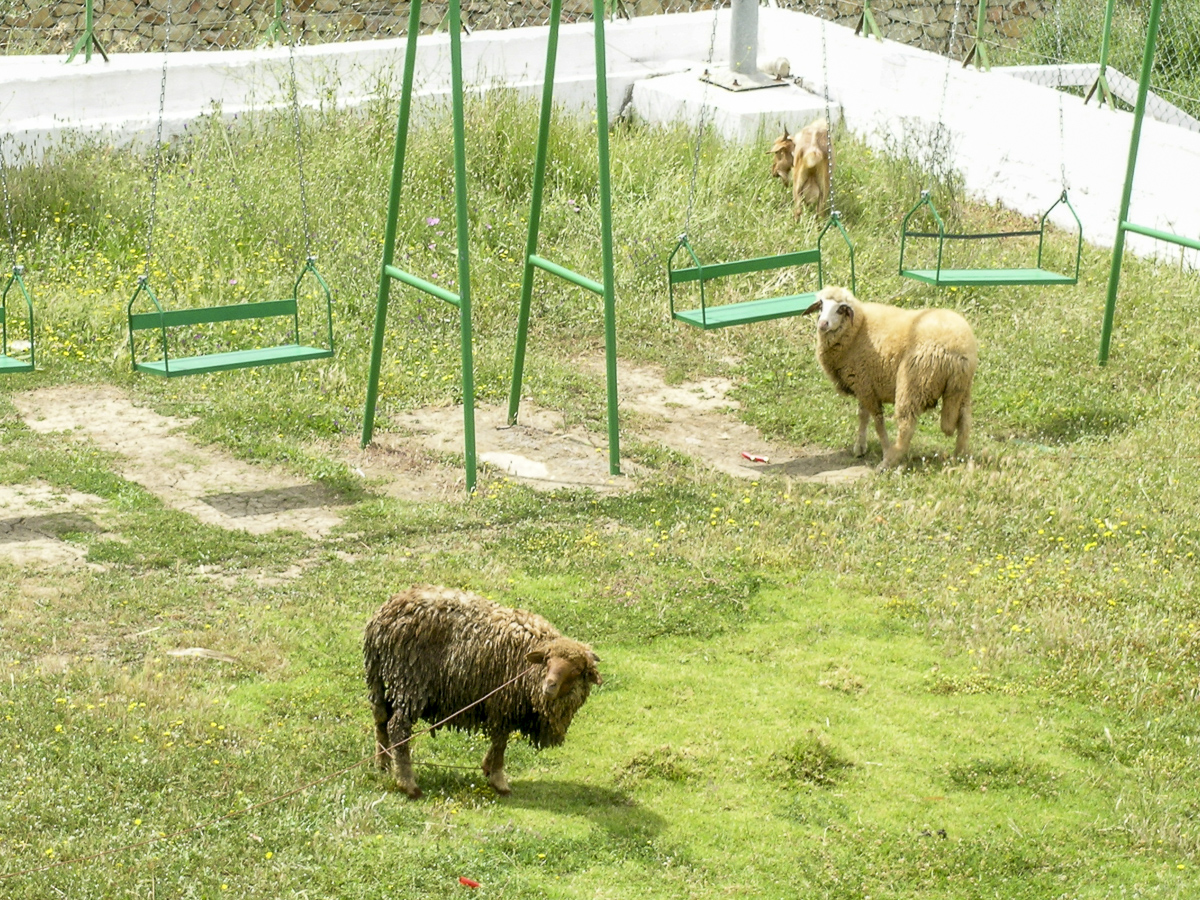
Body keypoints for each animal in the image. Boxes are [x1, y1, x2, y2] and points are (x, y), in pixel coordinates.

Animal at [363, 585, 602, 799]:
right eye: (548, 660)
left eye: (577, 670)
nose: (549, 686)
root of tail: (380, 621)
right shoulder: (503, 703)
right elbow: (500, 742)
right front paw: (498, 780)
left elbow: (499, 742)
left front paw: (488, 770)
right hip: (409, 681)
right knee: (397, 727)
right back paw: (408, 784)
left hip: (382, 678)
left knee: (381, 719)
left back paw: (383, 765)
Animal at [802, 286, 978, 468]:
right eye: (821, 305)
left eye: (841, 309)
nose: (823, 324)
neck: (856, 330)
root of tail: (959, 350)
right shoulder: (863, 382)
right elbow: (863, 416)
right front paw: (860, 447)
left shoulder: (864, 385)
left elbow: (878, 422)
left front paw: (885, 448)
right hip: (962, 389)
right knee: (965, 421)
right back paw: (959, 457)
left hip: (913, 383)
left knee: (906, 425)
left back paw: (889, 461)